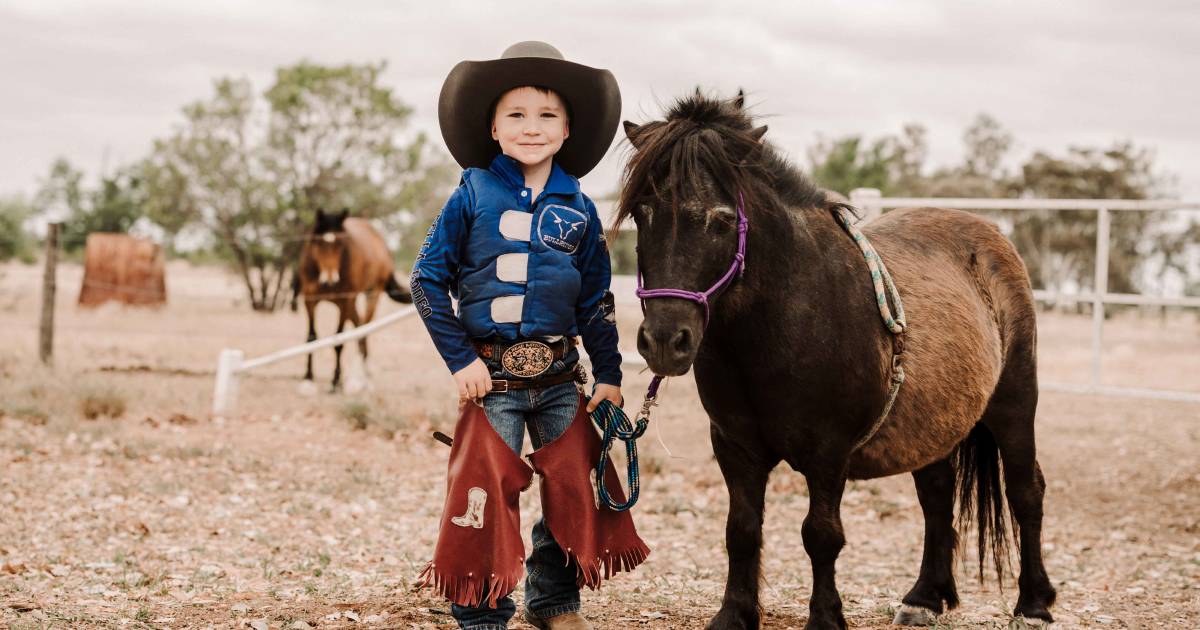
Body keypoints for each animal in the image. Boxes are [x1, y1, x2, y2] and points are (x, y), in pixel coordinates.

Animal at [291, 208, 412, 391]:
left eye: (340, 244)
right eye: (319, 243)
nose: (330, 280)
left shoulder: (344, 301)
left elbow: (339, 340)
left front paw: (335, 381)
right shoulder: (310, 300)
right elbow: (311, 337)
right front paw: (308, 378)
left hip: (371, 295)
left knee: (364, 330)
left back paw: (361, 378)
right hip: (352, 304)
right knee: (359, 325)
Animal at [619, 90, 1051, 624]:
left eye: (721, 220)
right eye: (642, 213)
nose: (664, 339)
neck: (782, 322)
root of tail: (992, 237)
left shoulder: (828, 453)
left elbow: (821, 536)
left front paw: (825, 617)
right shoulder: (736, 449)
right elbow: (741, 530)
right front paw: (734, 614)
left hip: (1014, 405)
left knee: (1026, 491)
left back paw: (1034, 603)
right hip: (933, 428)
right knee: (936, 496)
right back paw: (925, 598)